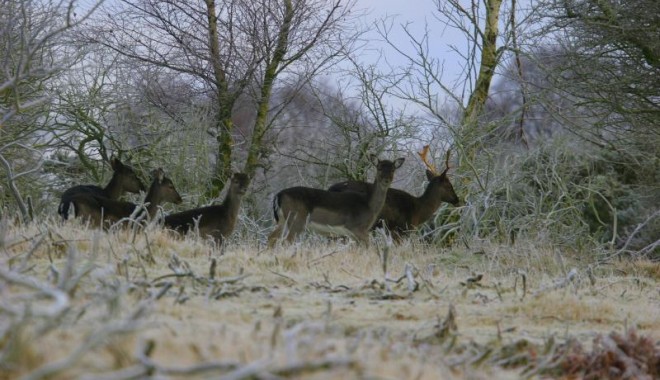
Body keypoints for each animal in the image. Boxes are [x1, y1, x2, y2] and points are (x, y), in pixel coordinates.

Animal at [266, 154, 402, 246]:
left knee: (271, 237)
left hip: (282, 220)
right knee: (286, 241)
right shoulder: (357, 228)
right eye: (379, 168)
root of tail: (278, 195)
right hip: (296, 219)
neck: (369, 205)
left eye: (393, 169)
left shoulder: (353, 233)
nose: (386, 180)